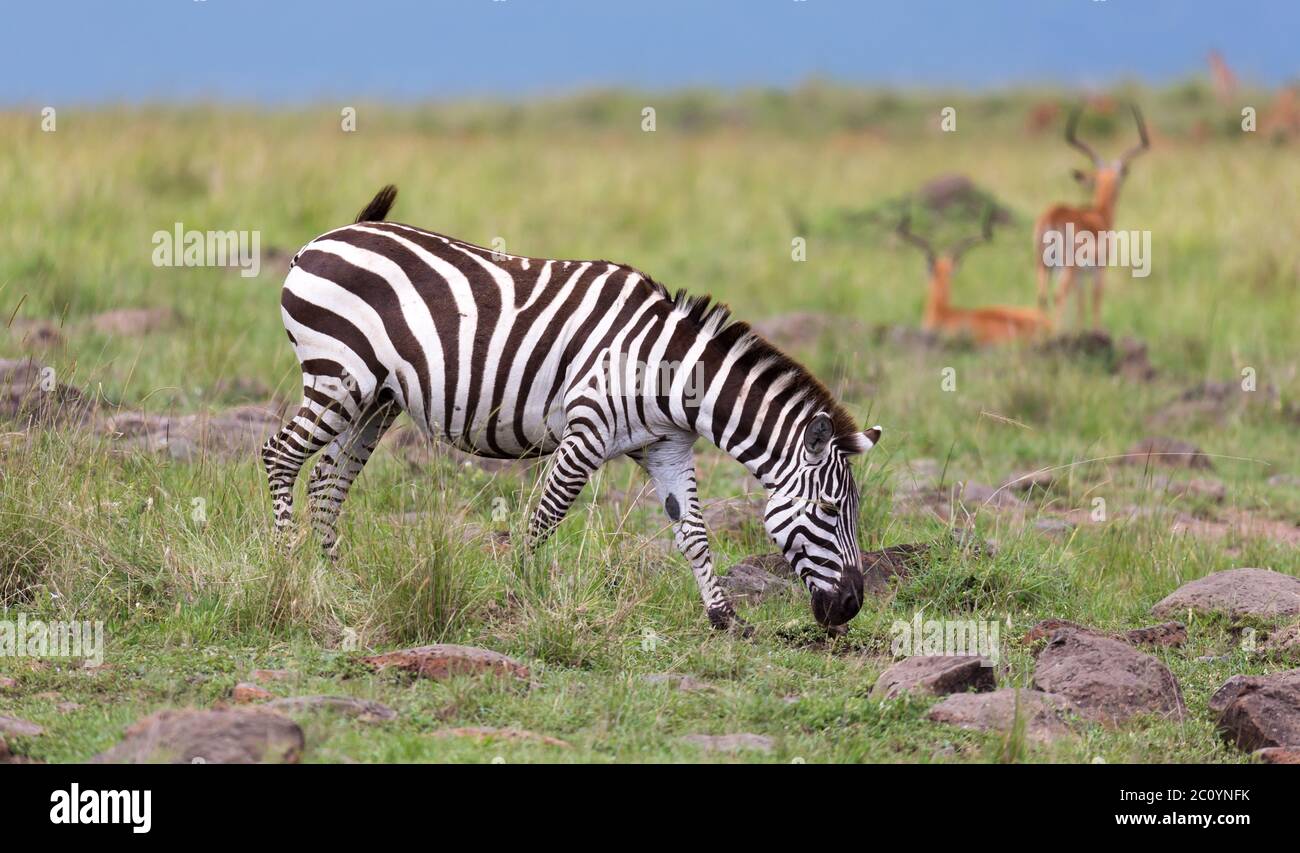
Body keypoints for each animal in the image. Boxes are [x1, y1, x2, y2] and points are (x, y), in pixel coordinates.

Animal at [262, 185, 882, 630]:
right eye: (830, 510)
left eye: (852, 510)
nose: (851, 607)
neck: (670, 372)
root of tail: (334, 234)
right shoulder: (584, 436)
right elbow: (543, 520)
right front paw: (514, 596)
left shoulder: (667, 449)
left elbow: (694, 534)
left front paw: (724, 617)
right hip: (337, 376)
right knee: (280, 455)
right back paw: (286, 568)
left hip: (375, 399)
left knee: (327, 480)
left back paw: (334, 580)